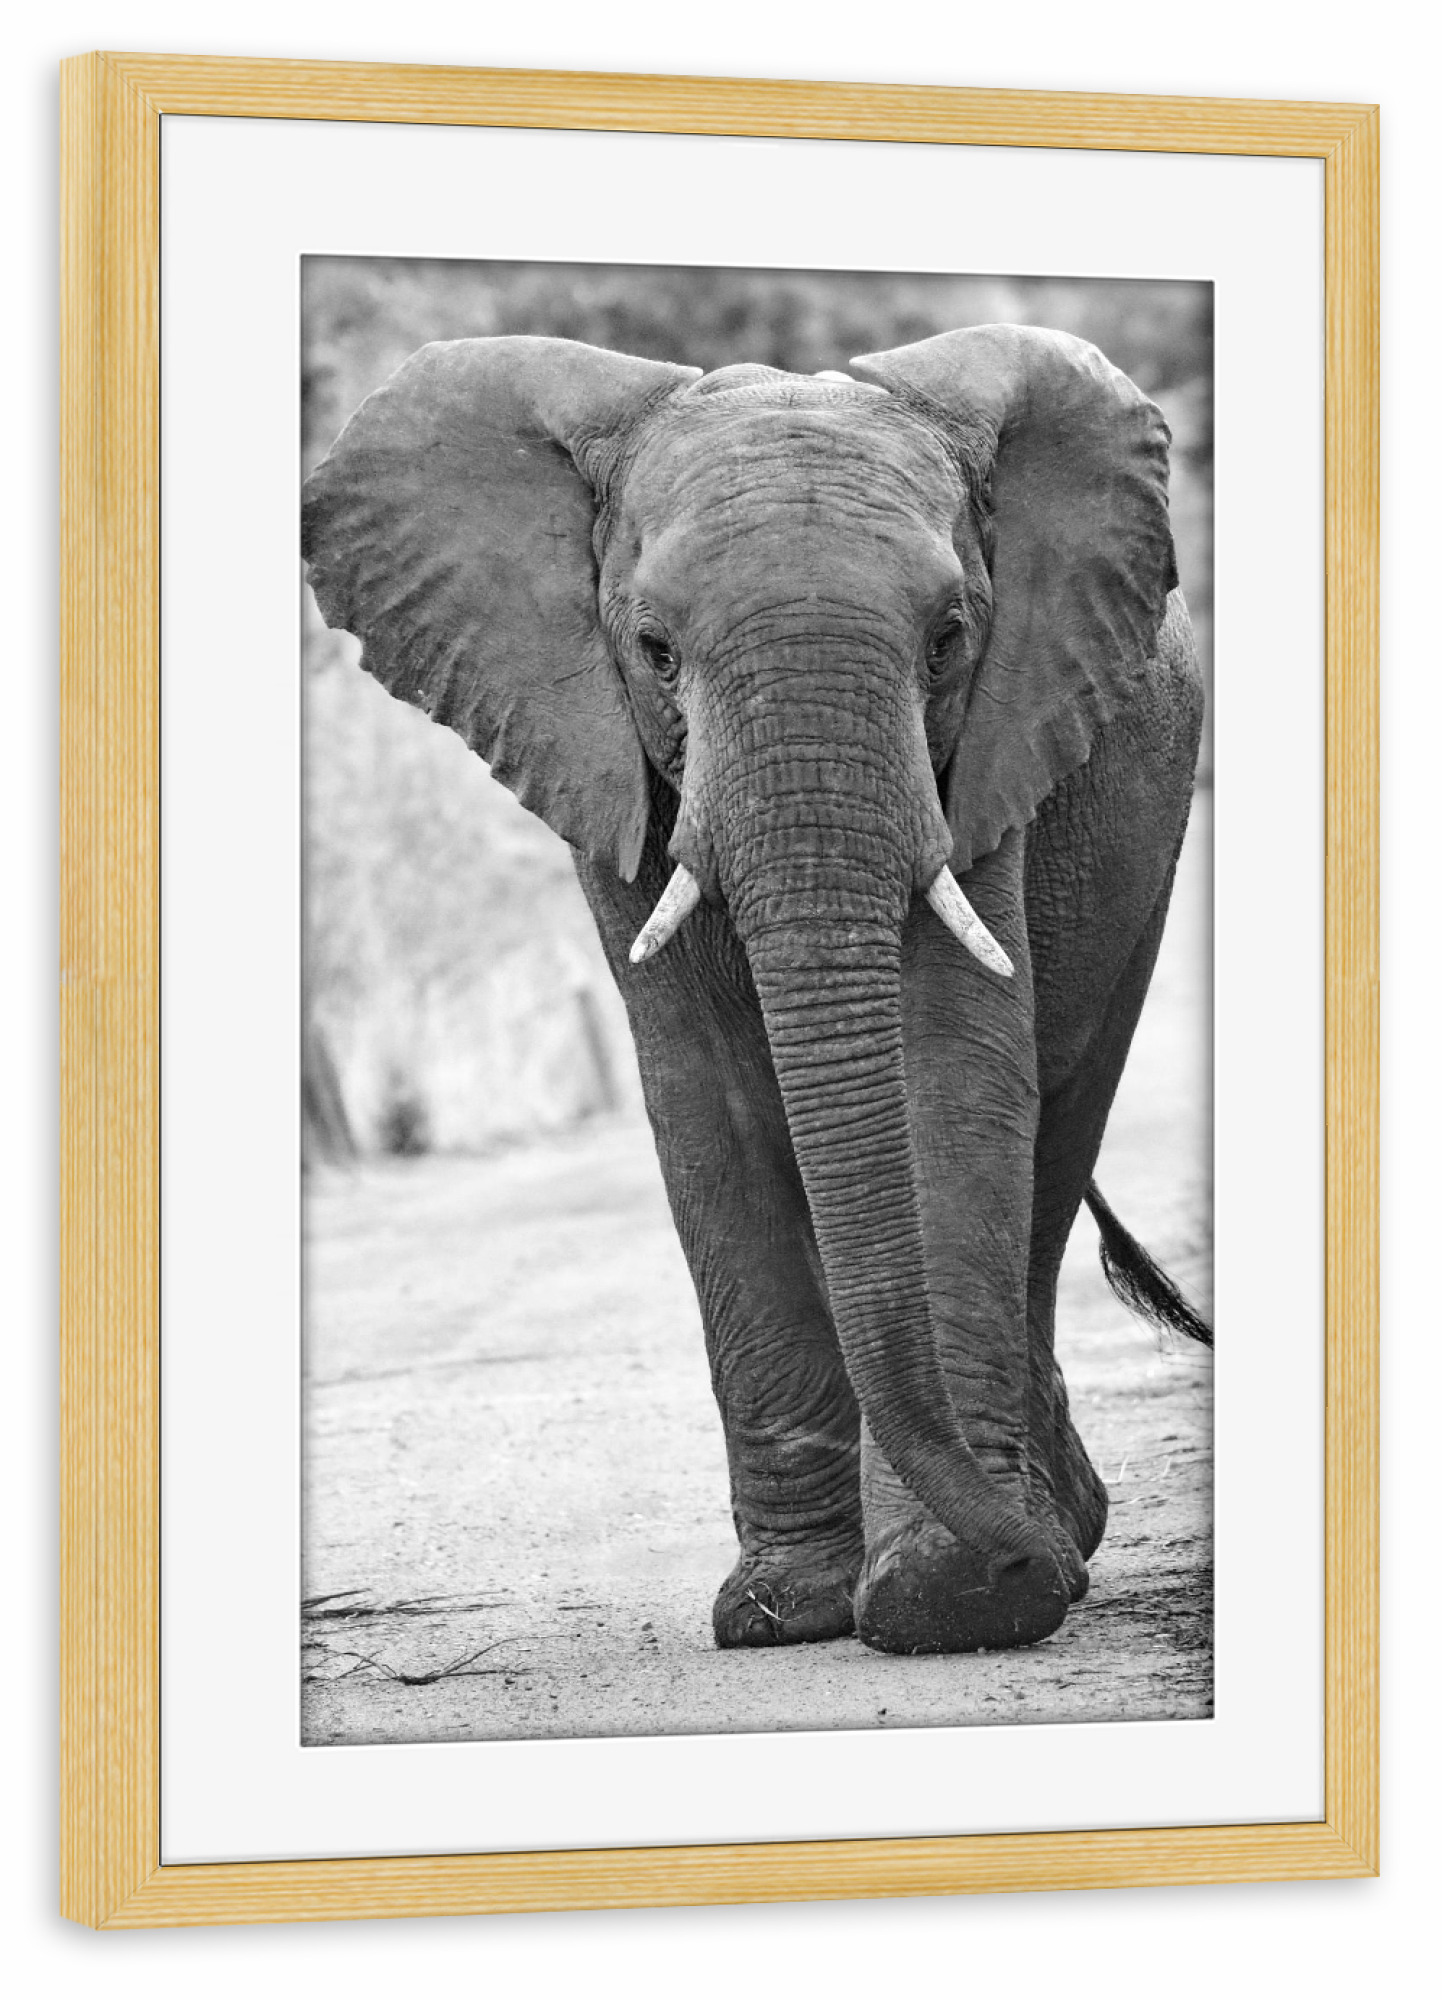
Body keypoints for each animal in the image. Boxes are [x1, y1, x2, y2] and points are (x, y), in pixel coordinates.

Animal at [301, 323, 1210, 1658]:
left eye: (949, 637)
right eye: (652, 650)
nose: (1016, 1562)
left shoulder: (991, 752)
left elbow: (943, 1067)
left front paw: (950, 1598)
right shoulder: (607, 770)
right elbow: (710, 1100)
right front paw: (788, 1608)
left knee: (1056, 1125)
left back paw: (1061, 1524)